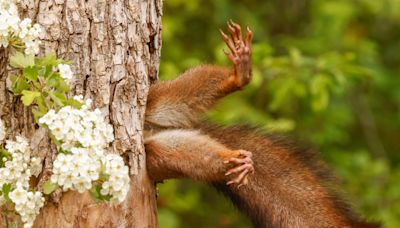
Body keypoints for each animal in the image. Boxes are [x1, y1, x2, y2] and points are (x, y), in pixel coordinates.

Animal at [143, 20, 378, 227]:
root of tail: (151, 130)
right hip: (156, 156)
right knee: (186, 155)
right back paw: (233, 162)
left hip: (155, 100)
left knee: (183, 95)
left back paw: (238, 77)